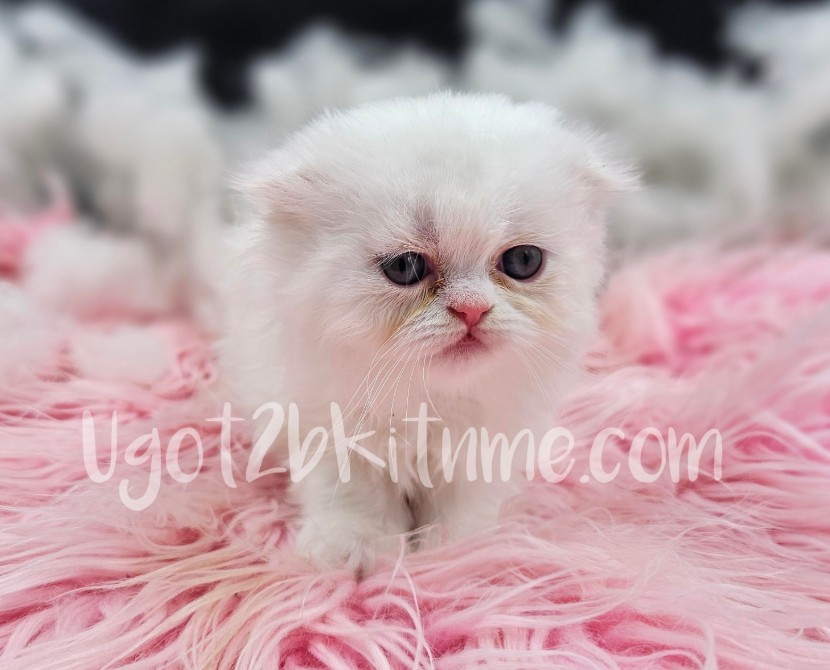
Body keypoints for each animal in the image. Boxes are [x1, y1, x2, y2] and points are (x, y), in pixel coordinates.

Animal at [220, 92, 632, 572]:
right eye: (405, 268)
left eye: (523, 261)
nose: (472, 309)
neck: (428, 403)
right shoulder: (324, 427)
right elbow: (353, 500)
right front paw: (352, 552)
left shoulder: (485, 448)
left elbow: (463, 511)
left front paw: (457, 553)